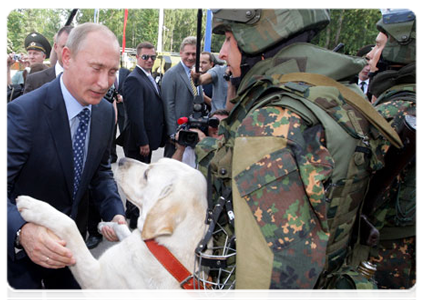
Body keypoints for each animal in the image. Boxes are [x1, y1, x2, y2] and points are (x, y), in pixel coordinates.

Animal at [16, 158, 209, 298]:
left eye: (147, 174)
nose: (122, 159)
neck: (163, 249)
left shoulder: (94, 278)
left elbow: (69, 225)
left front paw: (35, 206)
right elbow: (123, 228)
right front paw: (106, 225)